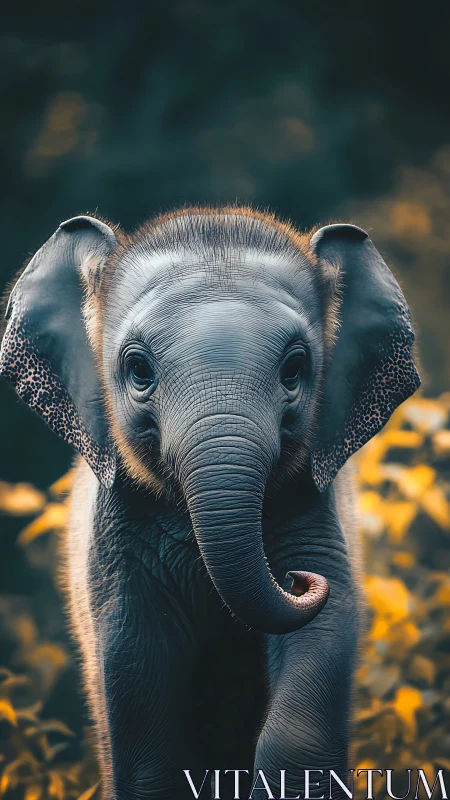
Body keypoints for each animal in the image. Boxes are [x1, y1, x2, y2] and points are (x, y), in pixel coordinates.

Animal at [0, 207, 420, 800]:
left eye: (294, 370)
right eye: (139, 370)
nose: (296, 581)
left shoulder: (316, 509)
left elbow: (324, 640)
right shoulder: (119, 547)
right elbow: (138, 680)